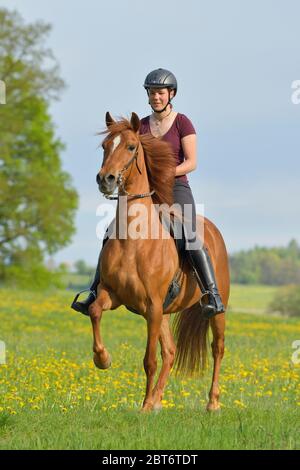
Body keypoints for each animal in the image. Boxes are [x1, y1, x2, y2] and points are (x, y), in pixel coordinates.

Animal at [89, 112, 230, 414]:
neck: (134, 240)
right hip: (164, 313)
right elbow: (94, 311)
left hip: (215, 309)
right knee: (172, 351)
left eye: (131, 147)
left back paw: (212, 402)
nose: (105, 179)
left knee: (217, 348)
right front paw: (103, 359)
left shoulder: (152, 307)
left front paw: (143, 407)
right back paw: (156, 400)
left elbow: (149, 360)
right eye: (105, 146)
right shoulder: (114, 295)